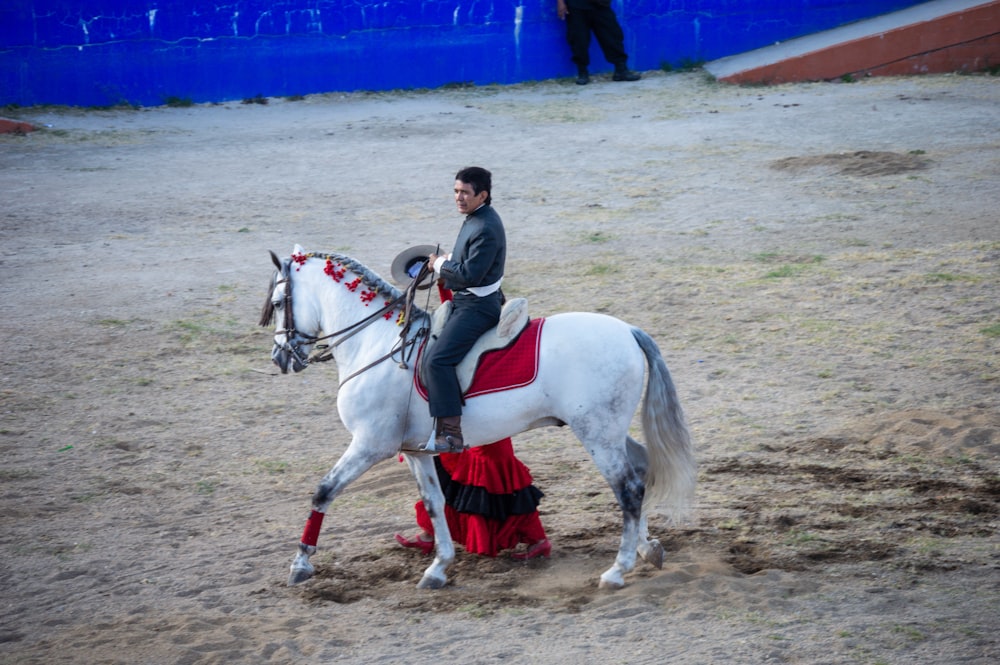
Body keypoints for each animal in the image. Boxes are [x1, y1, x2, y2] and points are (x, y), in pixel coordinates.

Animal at [258, 246, 696, 588]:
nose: (280, 358)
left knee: (629, 489)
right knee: (641, 471)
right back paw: (648, 549)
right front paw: (438, 568)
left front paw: (300, 564)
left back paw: (617, 570)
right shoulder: (416, 452)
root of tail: (627, 330)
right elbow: (434, 503)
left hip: (598, 435)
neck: (378, 344)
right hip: (609, 432)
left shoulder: (370, 445)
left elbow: (323, 491)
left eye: (278, 305)